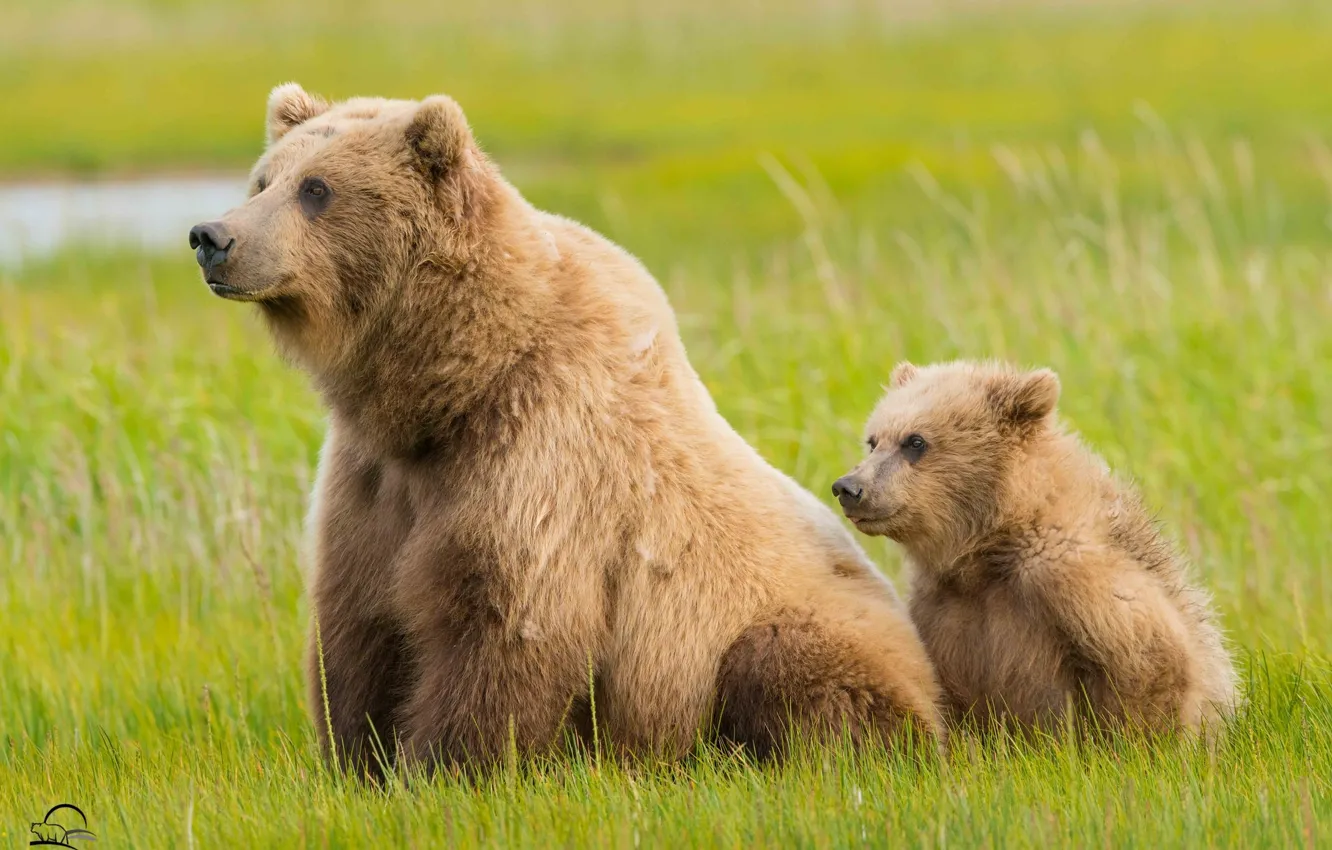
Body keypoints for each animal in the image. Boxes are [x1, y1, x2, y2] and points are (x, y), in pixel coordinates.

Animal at [187, 83, 944, 776]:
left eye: (317, 188)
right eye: (264, 179)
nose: (212, 237)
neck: (450, 384)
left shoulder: (542, 451)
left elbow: (506, 617)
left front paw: (446, 765)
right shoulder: (375, 478)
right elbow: (357, 620)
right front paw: (357, 761)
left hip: (800, 633)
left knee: (790, 669)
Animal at [831, 360, 1238, 736]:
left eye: (915, 441)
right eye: (873, 440)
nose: (849, 487)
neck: (989, 547)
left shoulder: (1072, 577)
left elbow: (1150, 661)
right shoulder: (943, 608)